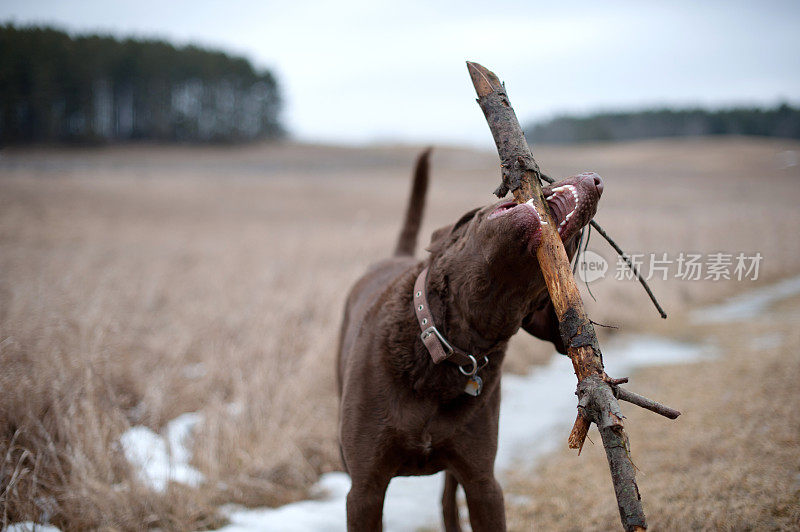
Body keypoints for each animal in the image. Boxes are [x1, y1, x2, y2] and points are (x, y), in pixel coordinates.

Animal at [334, 151, 604, 532]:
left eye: (574, 245)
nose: (597, 180)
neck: (449, 345)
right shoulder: (364, 489)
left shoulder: (483, 483)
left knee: (448, 496)